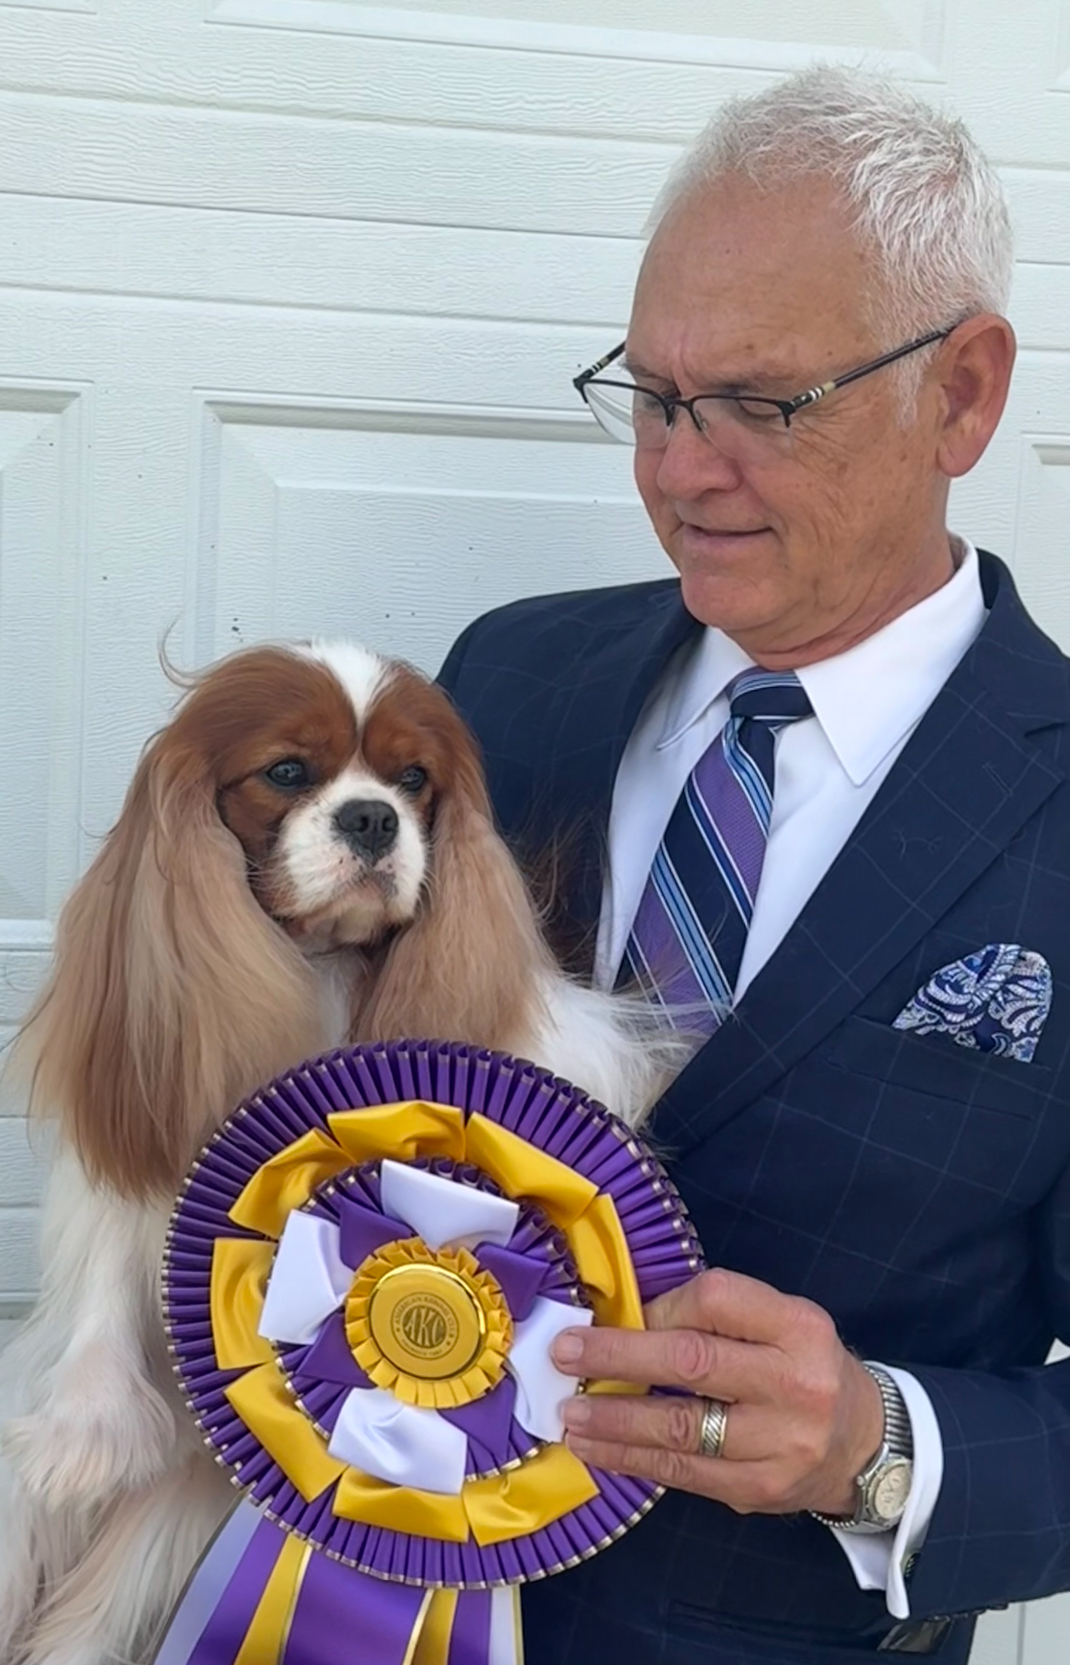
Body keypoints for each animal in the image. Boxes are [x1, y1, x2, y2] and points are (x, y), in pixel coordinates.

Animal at [0, 639, 679, 1665]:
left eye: (413, 780)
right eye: (287, 772)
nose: (372, 816)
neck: (321, 964)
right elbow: (108, 1250)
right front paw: (88, 1425)